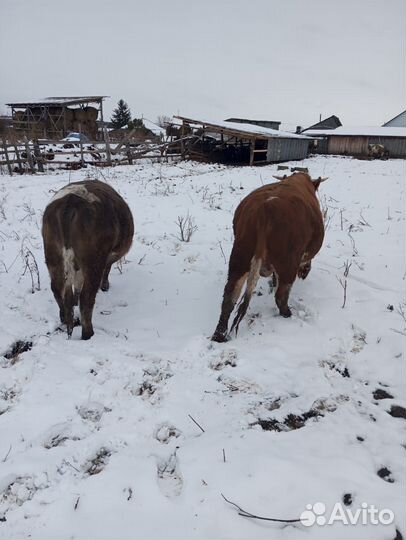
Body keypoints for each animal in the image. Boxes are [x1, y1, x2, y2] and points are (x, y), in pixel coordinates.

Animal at [43, 179, 134, 340]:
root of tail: (71, 201)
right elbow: (107, 269)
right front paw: (105, 286)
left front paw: (74, 299)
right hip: (94, 261)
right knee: (87, 297)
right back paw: (88, 334)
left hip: (52, 256)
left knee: (57, 288)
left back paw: (65, 319)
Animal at [211, 173, 326, 342]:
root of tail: (264, 209)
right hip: (288, 263)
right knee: (281, 295)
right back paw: (287, 314)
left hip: (240, 259)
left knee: (229, 296)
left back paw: (219, 335)